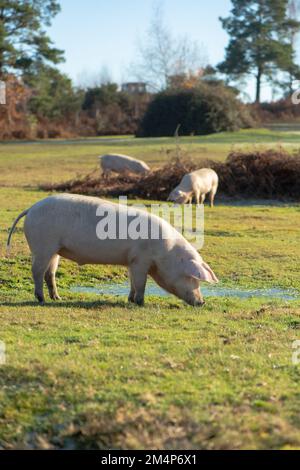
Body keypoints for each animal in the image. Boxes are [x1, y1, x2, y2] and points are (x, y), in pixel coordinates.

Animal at [6, 193, 218, 306]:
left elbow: (132, 282)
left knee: (49, 273)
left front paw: (130, 300)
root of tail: (31, 209)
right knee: (36, 271)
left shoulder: (132, 260)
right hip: (42, 246)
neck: (166, 253)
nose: (202, 302)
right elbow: (140, 283)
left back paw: (57, 298)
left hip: (55, 250)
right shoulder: (141, 260)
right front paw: (140, 303)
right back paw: (41, 300)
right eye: (193, 278)